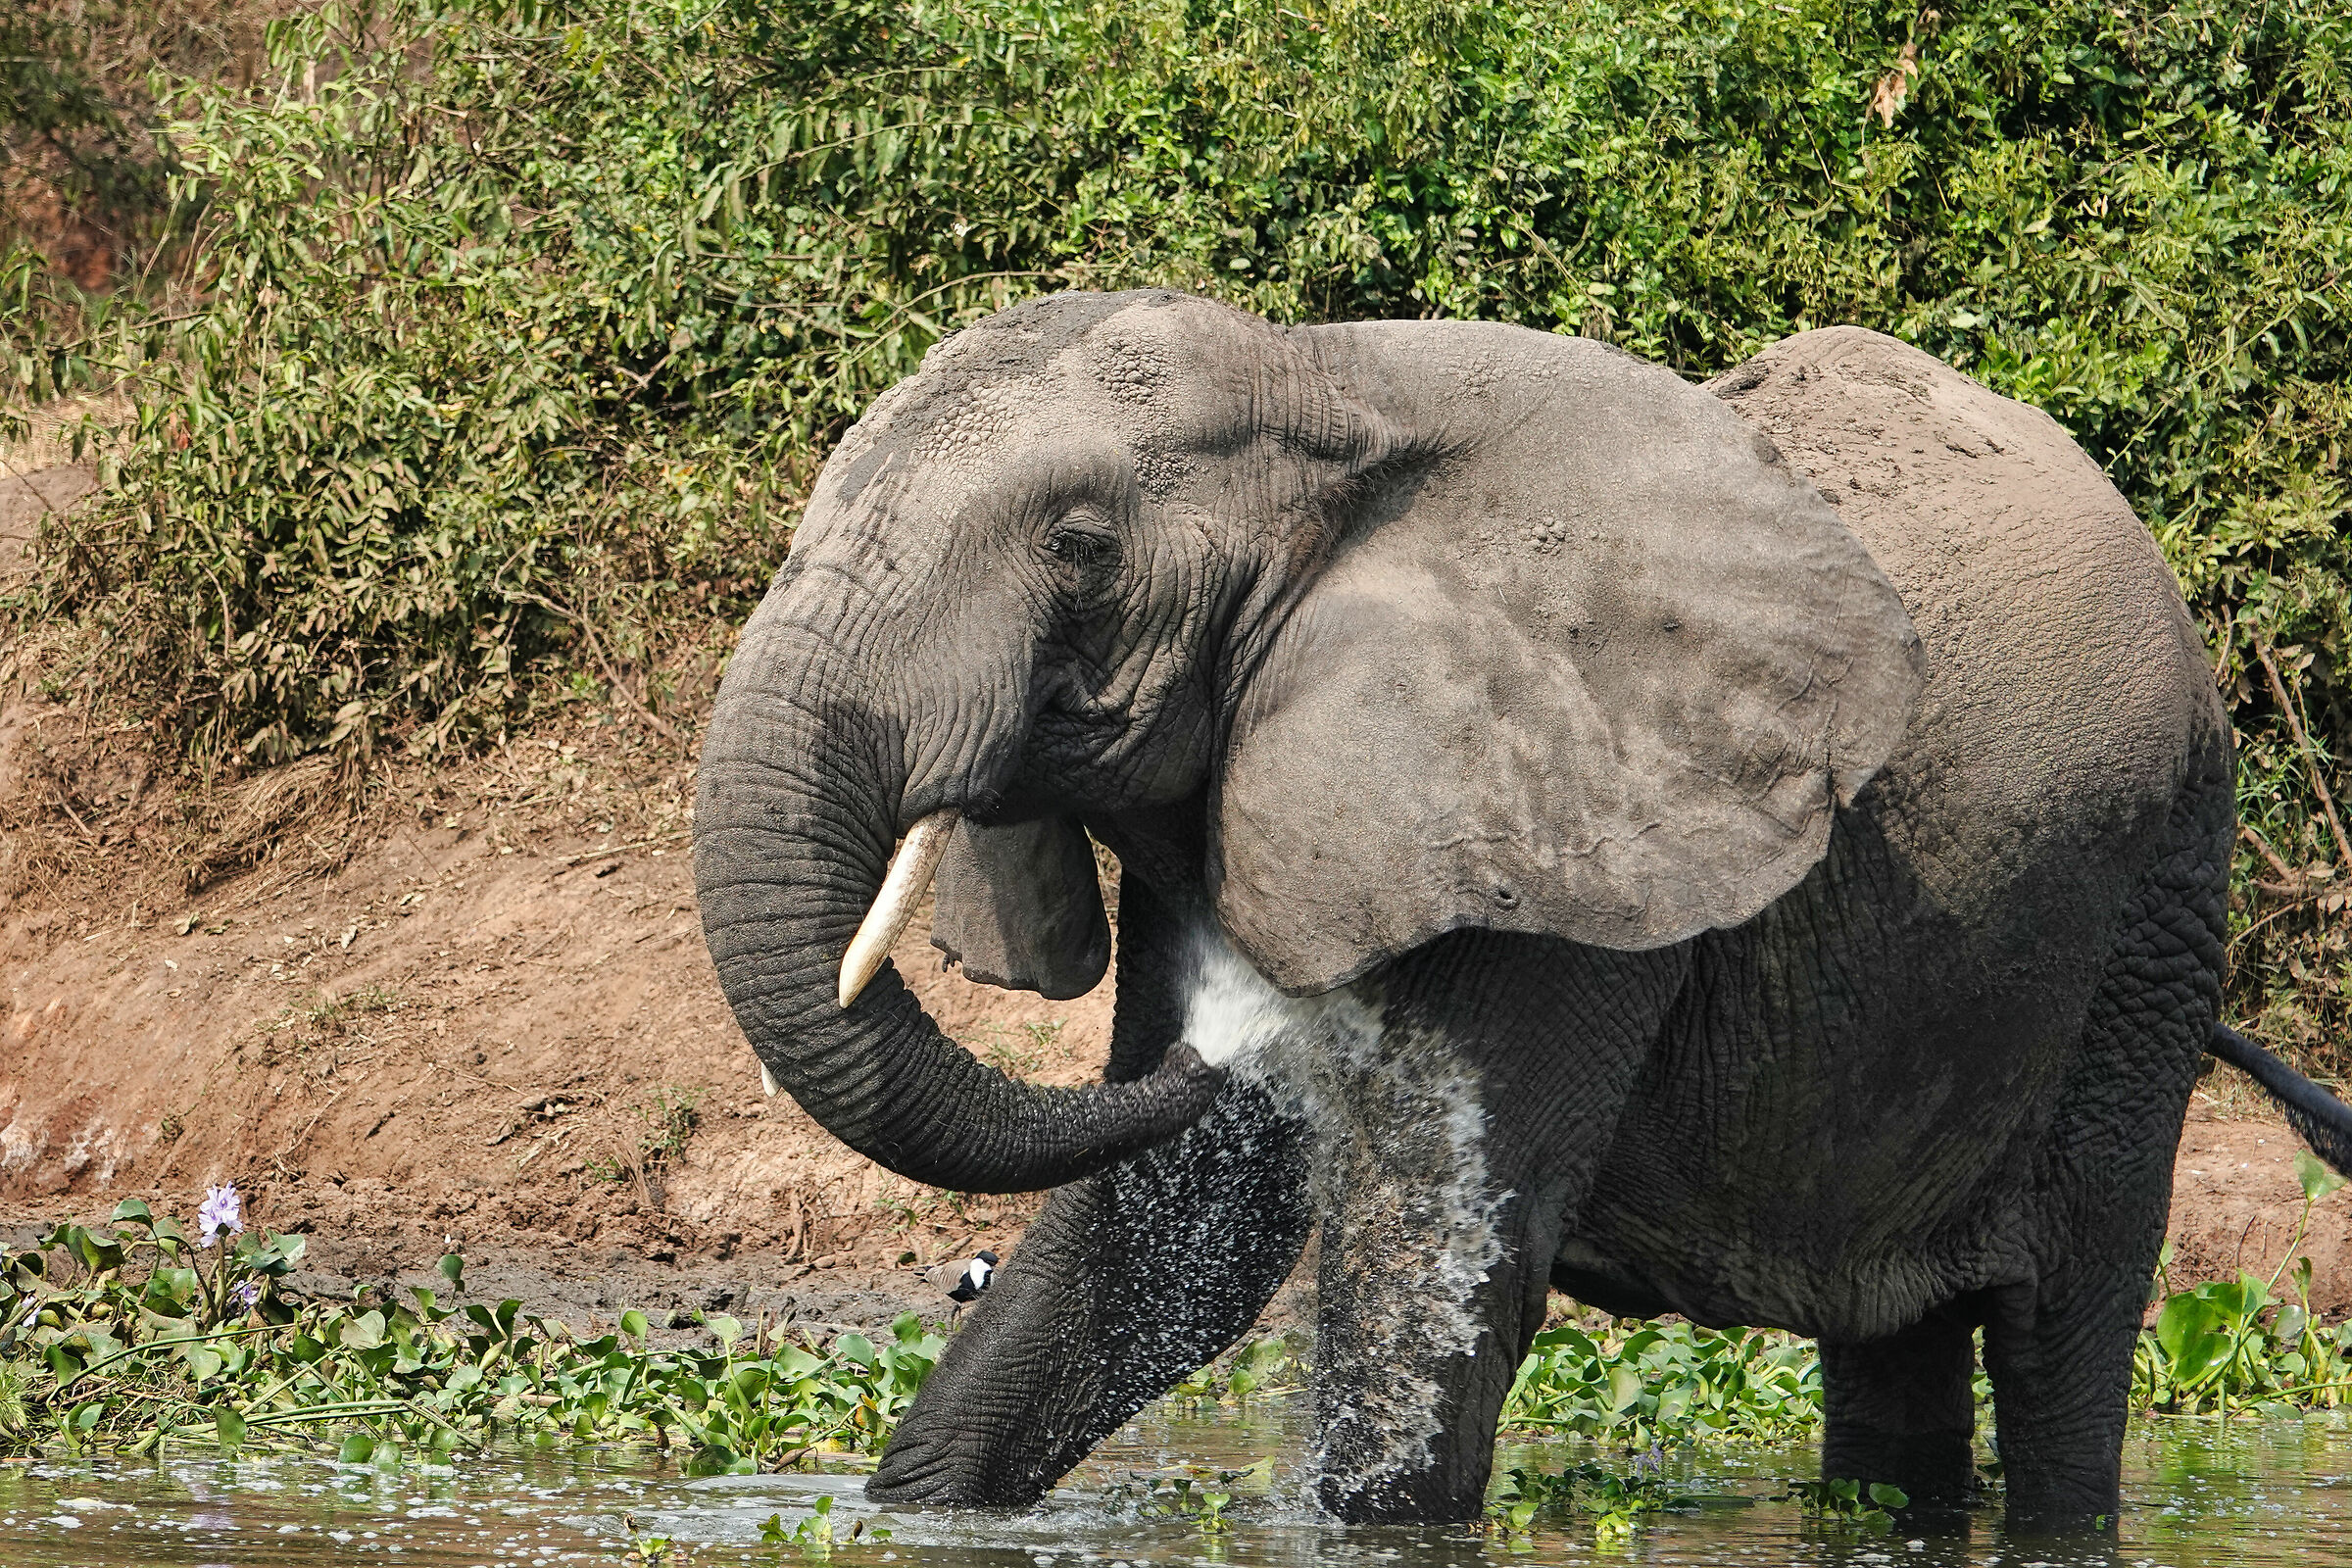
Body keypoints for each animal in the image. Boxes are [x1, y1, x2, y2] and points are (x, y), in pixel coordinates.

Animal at [693, 290, 2352, 1528]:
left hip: (2152, 900)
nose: (1228, 1035)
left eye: (1082, 548)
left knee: (2066, 1330)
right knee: (1899, 1360)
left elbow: (1440, 1248)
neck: (1325, 380)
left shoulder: (1575, 829)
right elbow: (1183, 1218)